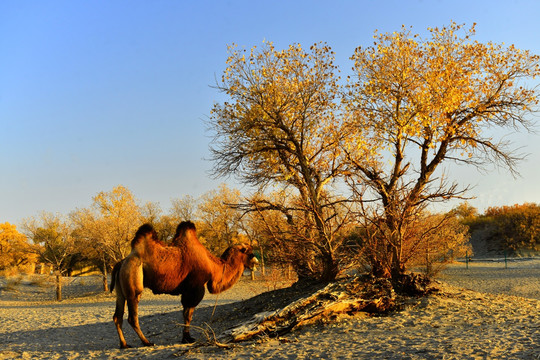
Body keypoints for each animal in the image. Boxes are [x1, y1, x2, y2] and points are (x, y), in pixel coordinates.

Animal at [109, 221, 258, 348]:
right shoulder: (195, 288)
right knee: (132, 317)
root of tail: (121, 263)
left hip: (121, 289)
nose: (256, 261)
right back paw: (147, 342)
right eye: (250, 253)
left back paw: (124, 344)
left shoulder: (189, 290)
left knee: (117, 316)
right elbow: (188, 314)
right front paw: (187, 338)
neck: (213, 266)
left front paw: (186, 337)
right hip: (134, 284)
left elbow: (186, 313)